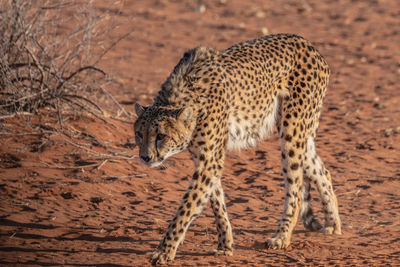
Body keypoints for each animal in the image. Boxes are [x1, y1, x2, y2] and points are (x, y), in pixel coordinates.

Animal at [134, 34, 340, 266]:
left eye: (161, 136)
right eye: (139, 134)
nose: (146, 157)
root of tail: (306, 43)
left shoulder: (208, 161)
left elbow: (187, 207)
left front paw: (164, 250)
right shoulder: (205, 159)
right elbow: (216, 200)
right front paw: (225, 244)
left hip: (292, 131)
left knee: (295, 188)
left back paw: (282, 237)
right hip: (299, 130)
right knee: (322, 171)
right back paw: (333, 223)